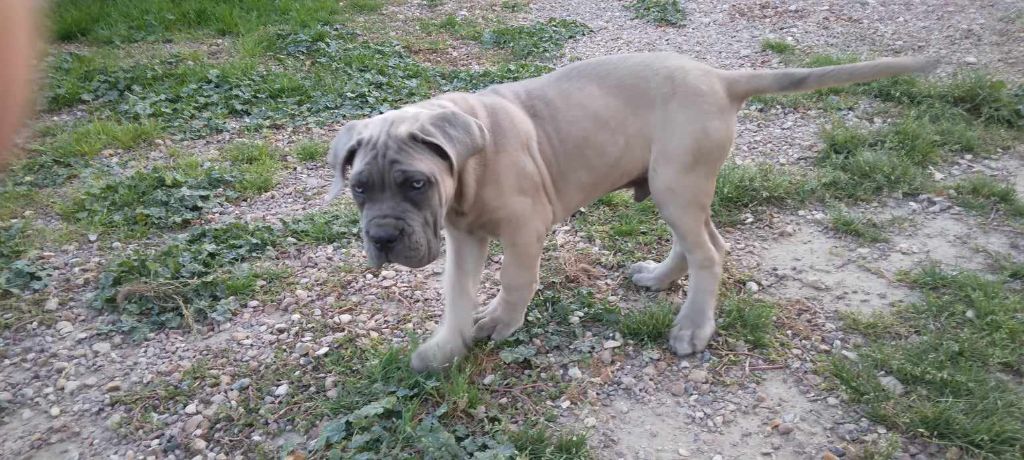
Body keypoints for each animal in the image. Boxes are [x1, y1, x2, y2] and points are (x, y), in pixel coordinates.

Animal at [325, 52, 935, 372]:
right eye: (359, 189)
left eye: (416, 183)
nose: (382, 237)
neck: (471, 164)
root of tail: (719, 79)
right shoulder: (461, 236)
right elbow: (456, 294)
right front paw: (445, 347)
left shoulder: (523, 230)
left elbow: (517, 282)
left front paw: (501, 322)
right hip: (676, 185)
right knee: (707, 242)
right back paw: (661, 279)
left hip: (675, 182)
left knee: (710, 254)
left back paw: (692, 328)